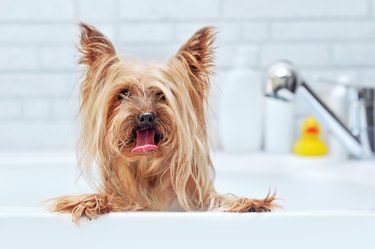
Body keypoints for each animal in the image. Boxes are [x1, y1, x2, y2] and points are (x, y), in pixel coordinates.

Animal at [50, 22, 278, 223]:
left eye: (162, 95)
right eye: (123, 94)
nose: (146, 116)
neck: (148, 169)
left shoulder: (195, 200)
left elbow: (217, 200)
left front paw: (248, 203)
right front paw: (89, 202)